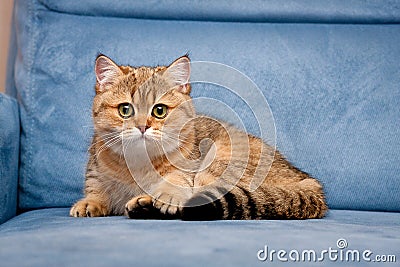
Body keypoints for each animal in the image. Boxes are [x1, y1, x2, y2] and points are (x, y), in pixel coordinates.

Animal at [69, 55, 328, 222]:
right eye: (125, 110)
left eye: (159, 111)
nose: (143, 126)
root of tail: (306, 179)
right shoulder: (96, 170)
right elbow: (95, 188)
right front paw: (90, 202)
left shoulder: (189, 169)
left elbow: (176, 181)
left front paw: (165, 194)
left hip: (219, 162)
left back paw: (146, 205)